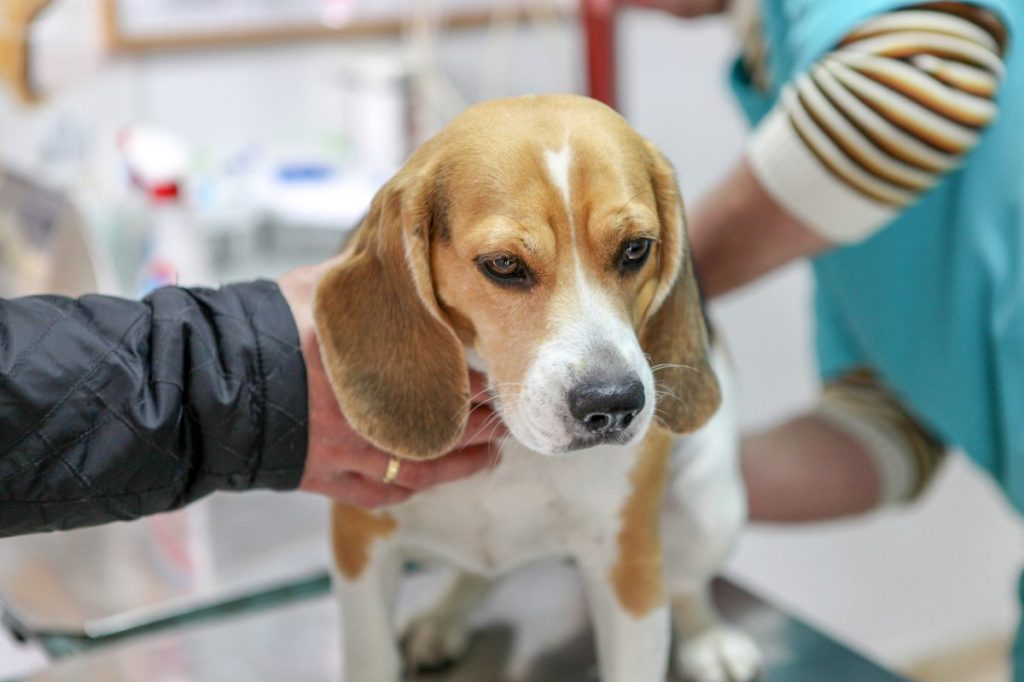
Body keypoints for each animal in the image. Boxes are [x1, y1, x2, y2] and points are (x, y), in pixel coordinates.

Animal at [311, 93, 761, 675]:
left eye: (636, 249)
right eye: (503, 264)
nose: (614, 405)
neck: (513, 445)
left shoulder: (628, 562)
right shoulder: (361, 542)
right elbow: (372, 658)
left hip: (713, 509)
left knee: (686, 583)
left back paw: (708, 637)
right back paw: (444, 617)